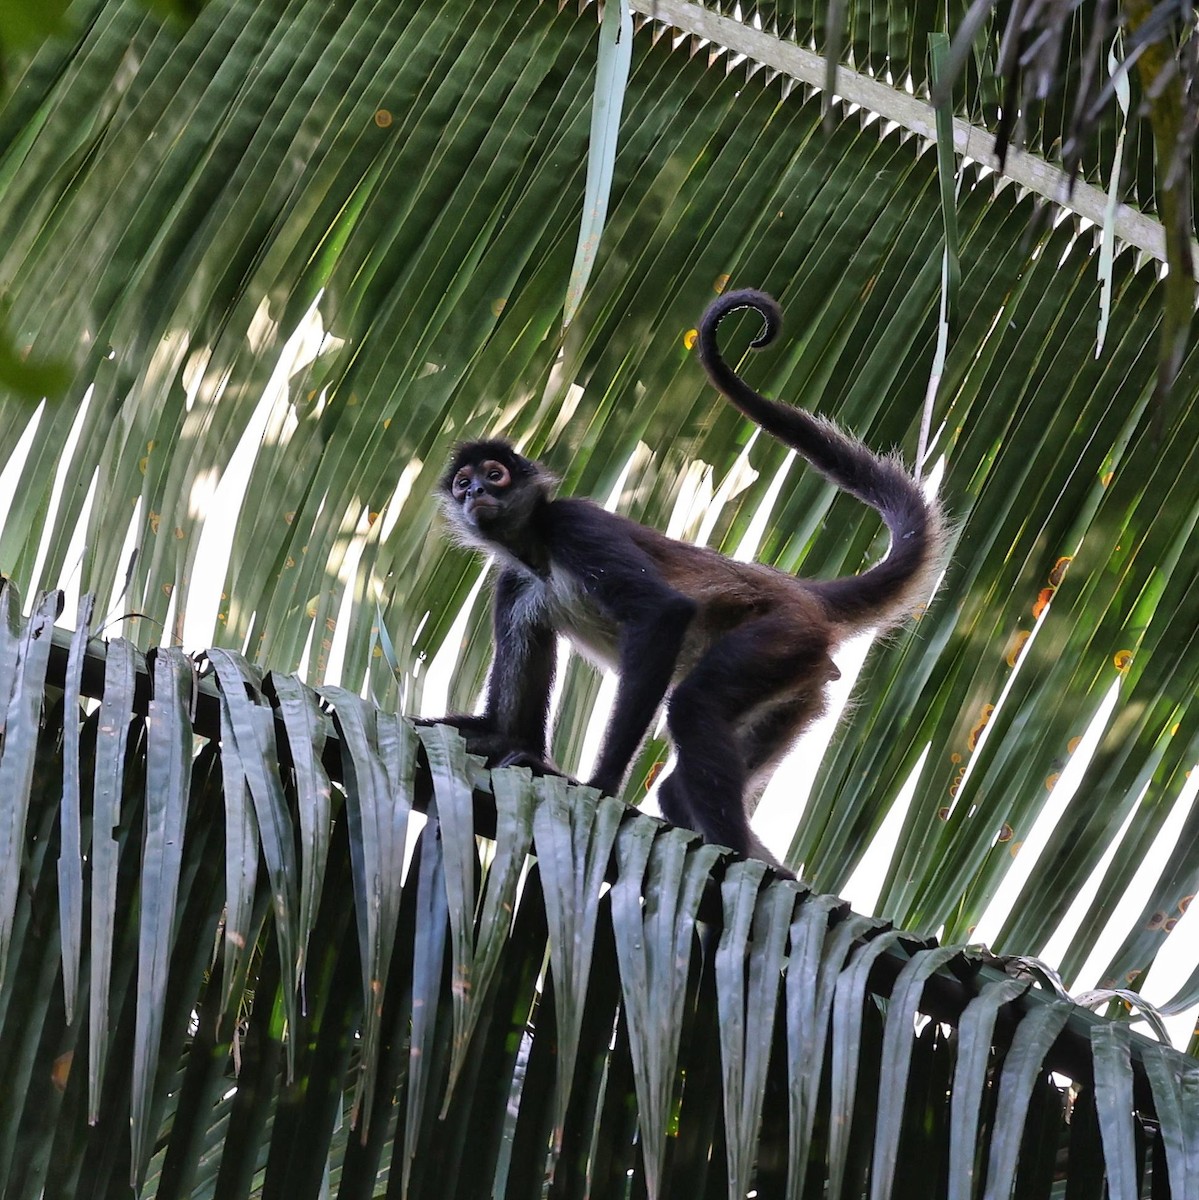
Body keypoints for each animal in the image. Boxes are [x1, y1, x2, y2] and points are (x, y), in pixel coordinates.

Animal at [427, 289, 945, 875]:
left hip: (782, 637)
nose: (475, 494)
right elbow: (507, 728)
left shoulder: (577, 526)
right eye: (464, 483)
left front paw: (599, 786)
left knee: (695, 708)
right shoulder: (513, 582)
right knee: (678, 787)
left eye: (495, 475)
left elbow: (662, 614)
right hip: (801, 687)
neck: (537, 550)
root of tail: (794, 591)